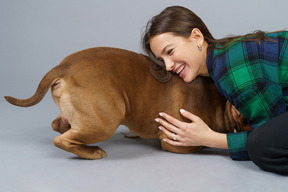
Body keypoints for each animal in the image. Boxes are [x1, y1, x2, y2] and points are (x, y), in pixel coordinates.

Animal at [5, 47, 252, 159]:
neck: (218, 104)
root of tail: (63, 67)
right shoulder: (175, 143)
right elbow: (199, 144)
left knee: (59, 126)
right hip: (105, 122)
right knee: (61, 139)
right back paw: (91, 152)